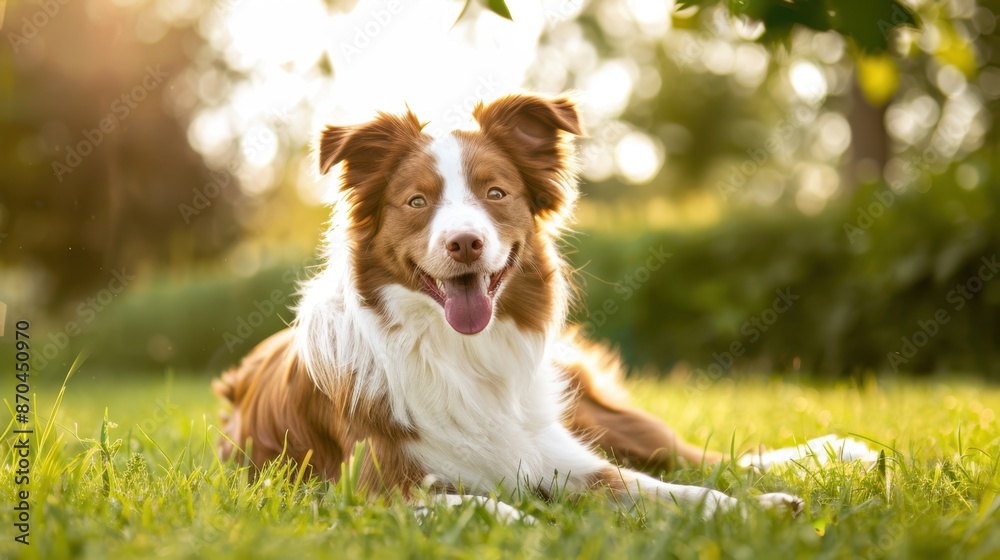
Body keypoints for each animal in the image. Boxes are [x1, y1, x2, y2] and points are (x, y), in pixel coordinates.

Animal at [213, 93, 804, 520]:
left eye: (495, 193)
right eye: (416, 201)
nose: (465, 243)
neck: (459, 352)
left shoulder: (557, 452)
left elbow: (663, 488)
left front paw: (754, 508)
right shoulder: (369, 489)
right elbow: (480, 504)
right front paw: (532, 521)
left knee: (700, 457)